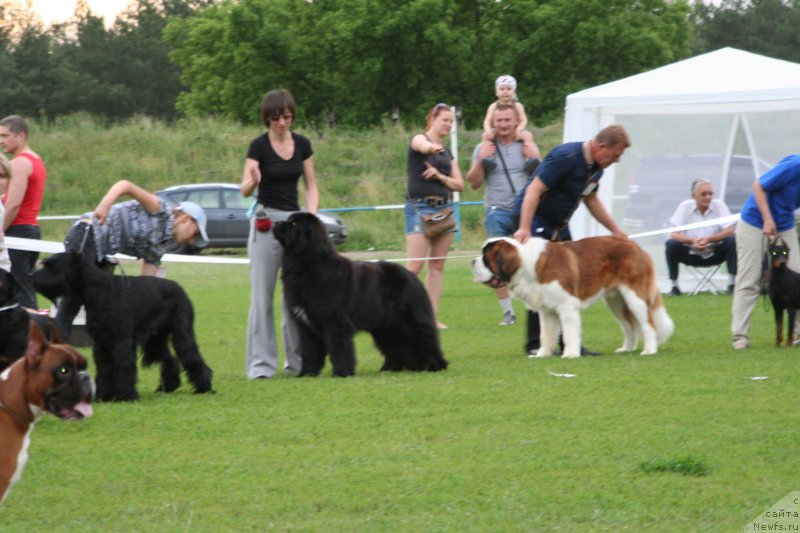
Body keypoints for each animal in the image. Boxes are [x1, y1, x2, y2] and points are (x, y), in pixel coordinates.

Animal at [33, 252, 212, 400]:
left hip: (182, 334)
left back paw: (204, 388)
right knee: (170, 360)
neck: (98, 290)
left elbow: (123, 366)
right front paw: (103, 396)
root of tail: (179, 287)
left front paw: (127, 395)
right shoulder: (101, 343)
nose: (32, 276)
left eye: (54, 267)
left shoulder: (121, 341)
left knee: (191, 356)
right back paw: (168, 387)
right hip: (155, 340)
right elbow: (104, 369)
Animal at [274, 210, 450, 376]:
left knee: (426, 339)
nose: (275, 223)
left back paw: (437, 366)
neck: (308, 264)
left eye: (294, 224)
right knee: (398, 347)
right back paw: (392, 369)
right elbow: (310, 352)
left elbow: (339, 349)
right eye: (289, 220)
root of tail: (412, 276)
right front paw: (307, 373)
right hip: (386, 327)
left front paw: (342, 372)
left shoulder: (334, 320)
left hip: (409, 320)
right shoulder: (306, 326)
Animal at [476, 236, 676, 358]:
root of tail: (635, 245)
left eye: (486, 258)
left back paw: (649, 349)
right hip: (616, 301)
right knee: (629, 326)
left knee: (648, 323)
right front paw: (542, 354)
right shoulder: (547, 311)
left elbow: (569, 332)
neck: (527, 264)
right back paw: (626, 349)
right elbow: (546, 334)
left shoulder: (567, 306)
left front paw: (570, 354)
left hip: (635, 298)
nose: (472, 262)